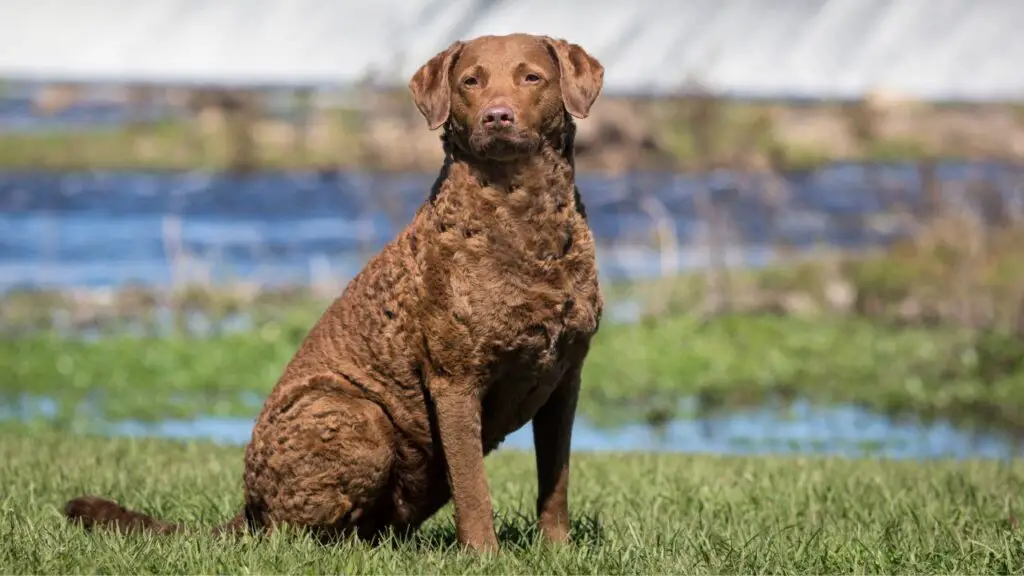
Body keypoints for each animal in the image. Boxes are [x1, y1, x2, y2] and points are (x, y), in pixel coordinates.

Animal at [64, 32, 602, 553]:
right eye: (471, 81)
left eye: (531, 77)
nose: (497, 115)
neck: (522, 218)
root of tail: (248, 506)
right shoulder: (455, 379)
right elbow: (473, 487)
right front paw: (483, 557)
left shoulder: (566, 378)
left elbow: (555, 481)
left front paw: (557, 552)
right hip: (356, 415)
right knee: (292, 534)